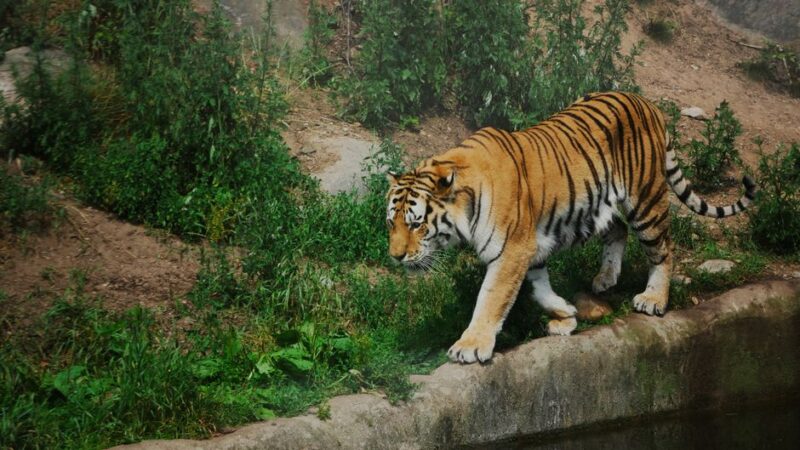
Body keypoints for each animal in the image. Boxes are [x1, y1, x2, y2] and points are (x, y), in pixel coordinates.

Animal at [385, 91, 756, 364]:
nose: (395, 257)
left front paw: (470, 346)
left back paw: (653, 299)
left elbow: (491, 298)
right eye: (391, 223)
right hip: (599, 205)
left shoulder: (511, 251)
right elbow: (539, 288)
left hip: (646, 201)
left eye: (416, 224)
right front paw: (565, 315)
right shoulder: (529, 249)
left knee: (663, 249)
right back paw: (606, 278)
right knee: (617, 229)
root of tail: (646, 102)